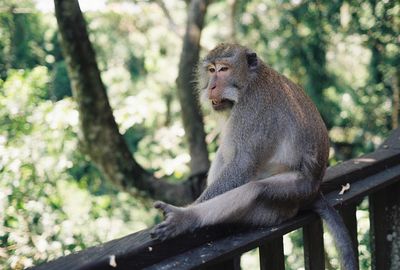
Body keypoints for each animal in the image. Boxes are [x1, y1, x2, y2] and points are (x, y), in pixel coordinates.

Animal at [151, 43, 356, 268]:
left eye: (224, 69)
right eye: (211, 70)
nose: (211, 86)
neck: (249, 82)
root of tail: (315, 190)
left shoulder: (253, 108)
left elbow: (243, 165)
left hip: (294, 191)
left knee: (255, 189)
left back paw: (185, 217)